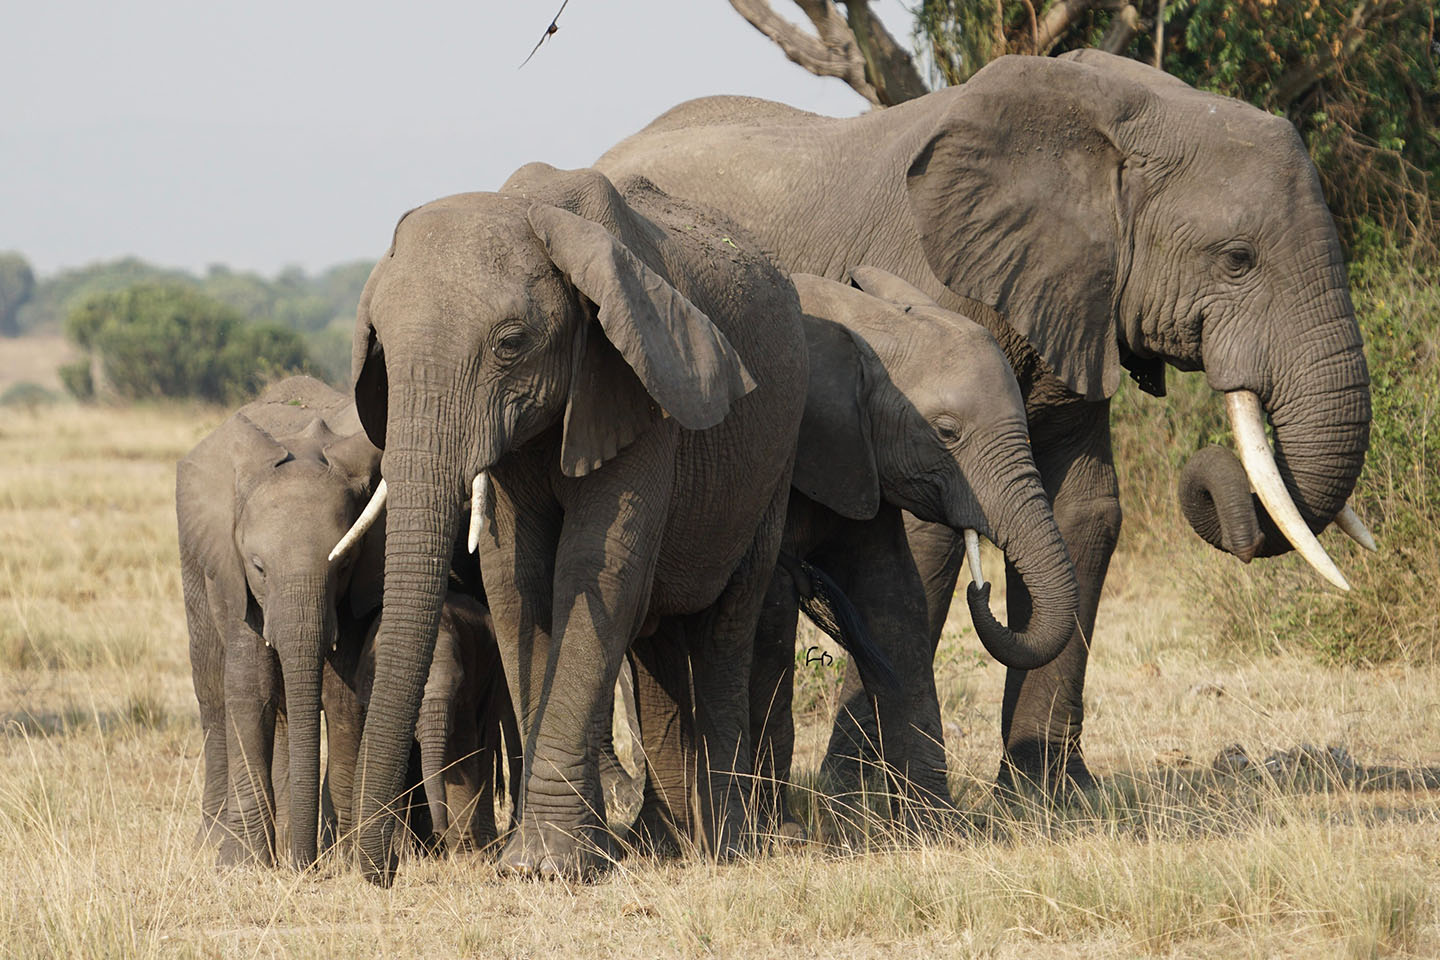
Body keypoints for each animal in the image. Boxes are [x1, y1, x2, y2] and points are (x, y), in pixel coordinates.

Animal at [175, 374, 383, 869]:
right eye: (259, 568)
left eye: (345, 565)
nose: (306, 865)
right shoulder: (233, 573)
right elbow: (250, 688)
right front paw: (241, 863)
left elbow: (342, 693)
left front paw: (340, 856)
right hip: (195, 561)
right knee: (212, 693)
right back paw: (213, 841)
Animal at [335, 165, 887, 886]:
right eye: (382, 352)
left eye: (511, 344)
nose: (379, 871)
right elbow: (519, 585)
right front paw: (570, 855)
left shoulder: (639, 388)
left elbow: (594, 568)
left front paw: (545, 866)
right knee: (657, 641)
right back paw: (664, 842)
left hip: (773, 458)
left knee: (728, 623)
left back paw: (727, 844)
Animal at [624, 266, 1077, 846]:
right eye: (946, 433)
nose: (985, 588)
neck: (867, 328)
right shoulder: (791, 458)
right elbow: (772, 611)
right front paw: (784, 833)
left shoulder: (859, 463)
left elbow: (895, 601)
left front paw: (941, 830)